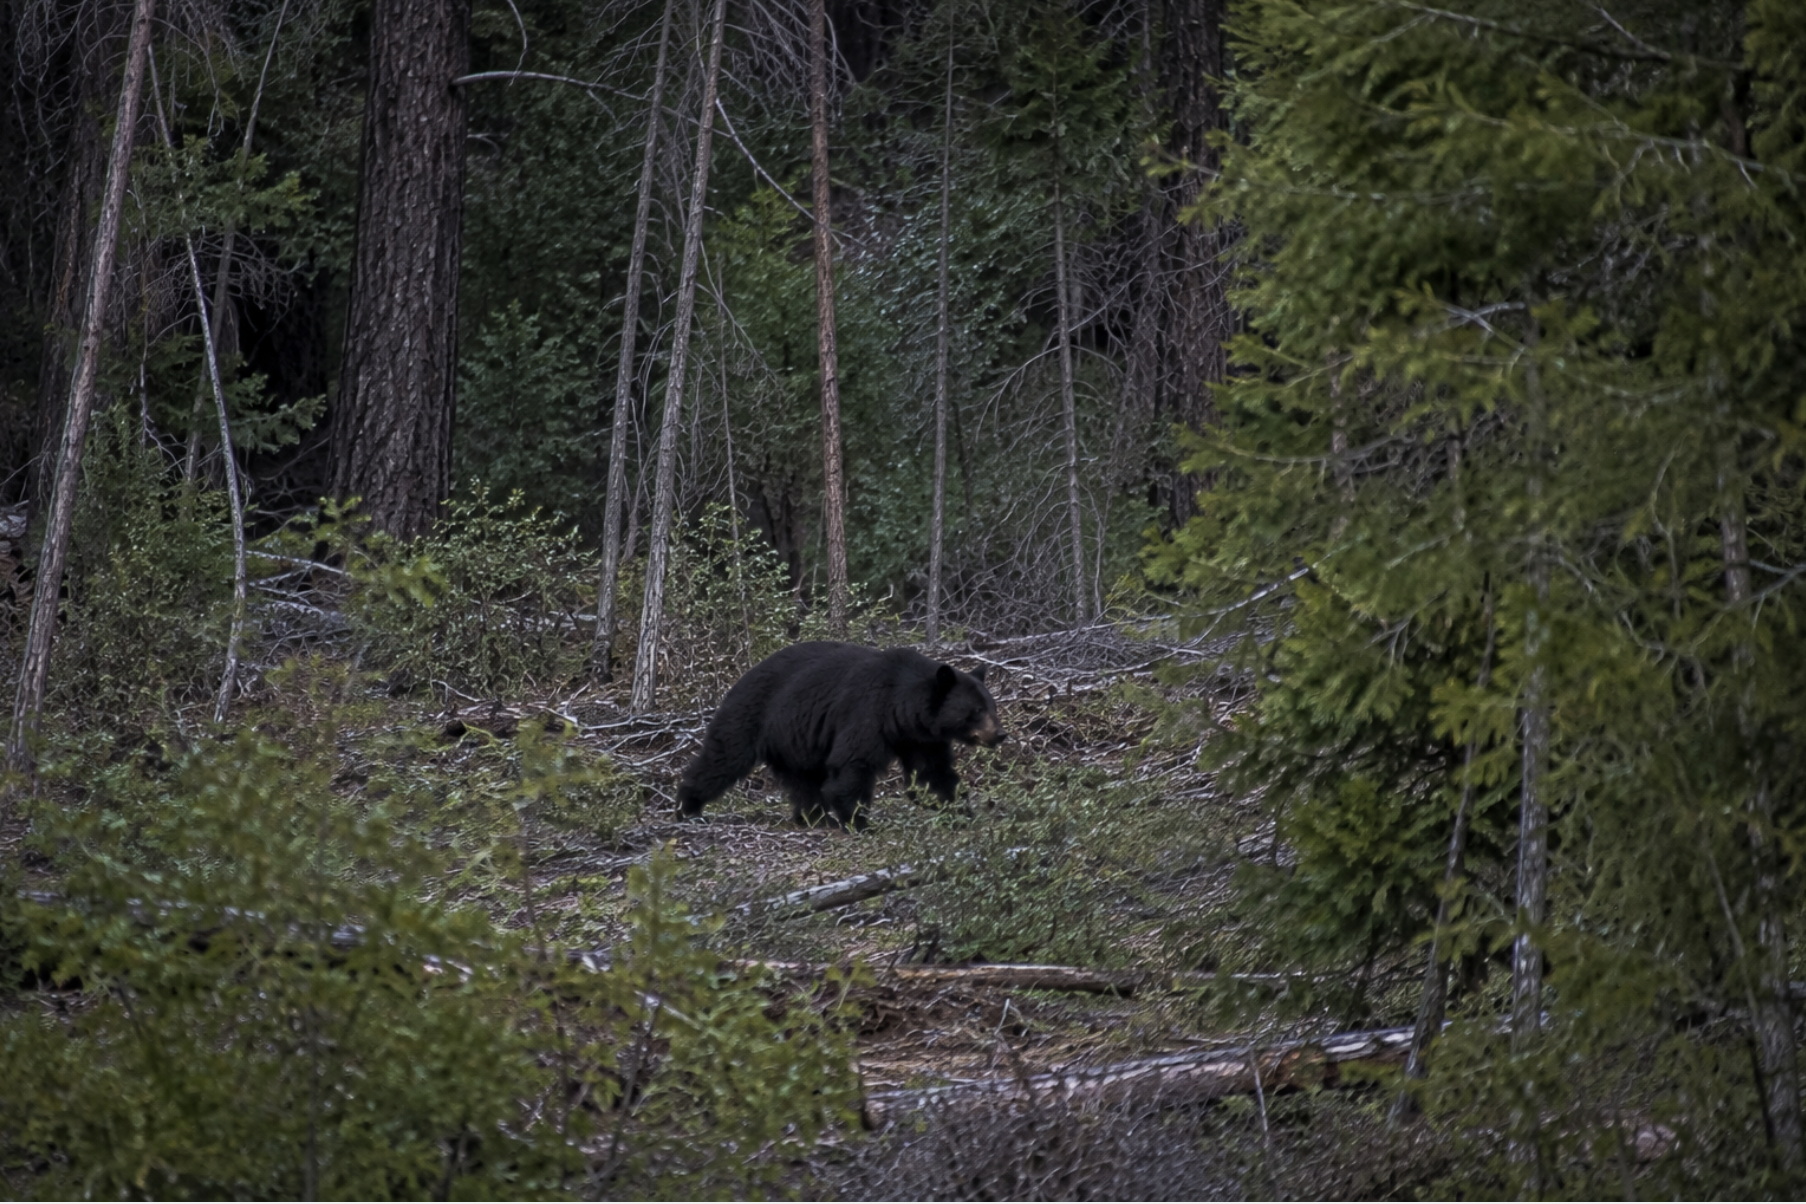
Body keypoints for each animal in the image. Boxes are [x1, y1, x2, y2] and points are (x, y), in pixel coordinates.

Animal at [676, 641, 1005, 829]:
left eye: (992, 706)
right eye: (976, 710)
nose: (1000, 735)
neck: (901, 708)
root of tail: (741, 677)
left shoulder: (920, 738)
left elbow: (931, 774)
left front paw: (959, 810)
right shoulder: (867, 712)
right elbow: (852, 763)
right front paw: (858, 820)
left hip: (793, 741)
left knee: (803, 779)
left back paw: (813, 817)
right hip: (753, 714)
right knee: (723, 758)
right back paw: (689, 806)